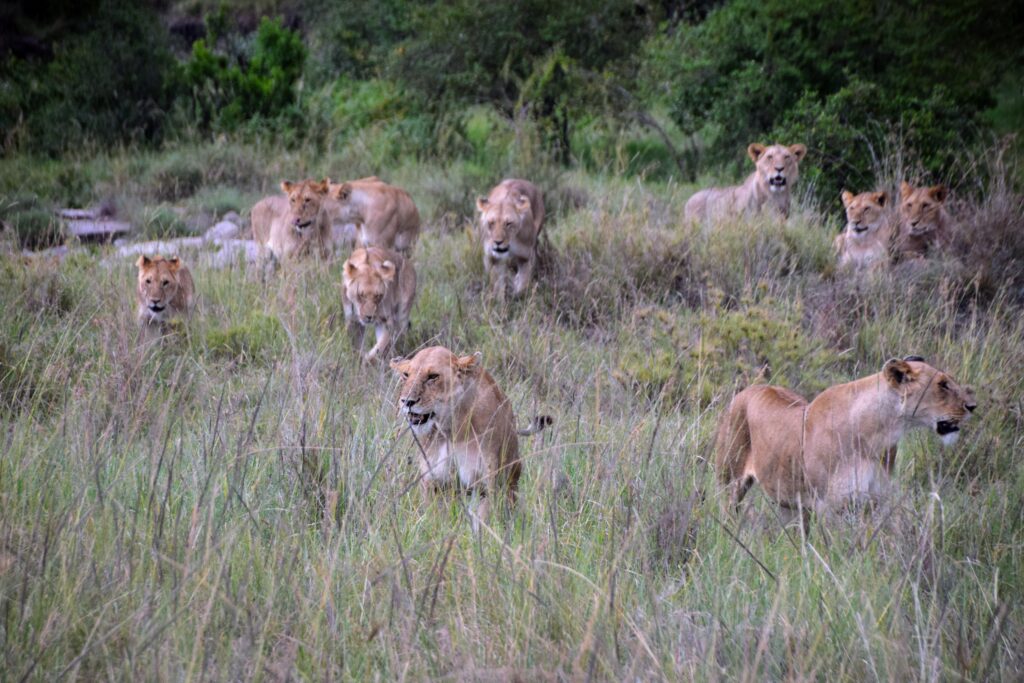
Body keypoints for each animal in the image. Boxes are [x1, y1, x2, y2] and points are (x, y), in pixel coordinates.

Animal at [391, 348, 552, 528]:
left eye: (433, 376)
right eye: (406, 375)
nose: (407, 401)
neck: (450, 428)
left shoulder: (484, 484)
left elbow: (480, 522)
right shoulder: (432, 482)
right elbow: (435, 519)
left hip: (511, 475)